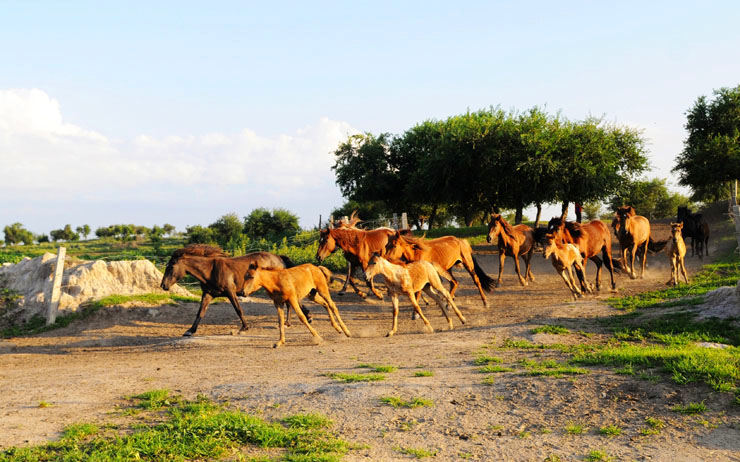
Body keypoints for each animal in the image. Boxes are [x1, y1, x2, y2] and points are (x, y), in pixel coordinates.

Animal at [160, 245, 310, 336]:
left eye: (171, 267)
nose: (163, 285)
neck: (211, 270)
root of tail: (279, 257)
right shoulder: (208, 295)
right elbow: (200, 313)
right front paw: (190, 331)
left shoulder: (230, 292)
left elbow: (238, 309)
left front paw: (244, 327)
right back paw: (294, 320)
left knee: (290, 302)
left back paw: (295, 320)